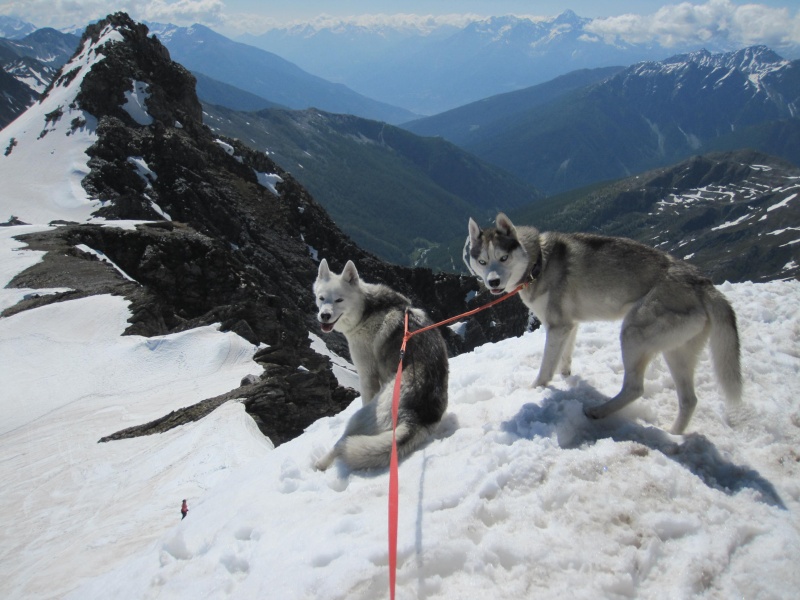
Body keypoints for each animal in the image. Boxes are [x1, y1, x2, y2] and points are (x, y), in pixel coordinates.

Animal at [312, 258, 450, 468]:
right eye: (321, 298)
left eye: (339, 300)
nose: (324, 316)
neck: (366, 311)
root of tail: (417, 415)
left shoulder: (367, 376)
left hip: (361, 417)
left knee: (342, 443)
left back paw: (320, 464)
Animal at [466, 213, 740, 434]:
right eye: (482, 262)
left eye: (503, 257)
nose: (492, 282)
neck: (538, 262)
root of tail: (702, 282)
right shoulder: (569, 325)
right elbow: (564, 357)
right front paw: (566, 377)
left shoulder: (557, 326)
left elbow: (546, 367)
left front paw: (536, 388)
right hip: (677, 352)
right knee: (689, 400)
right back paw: (674, 433)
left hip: (632, 333)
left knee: (635, 388)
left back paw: (598, 411)